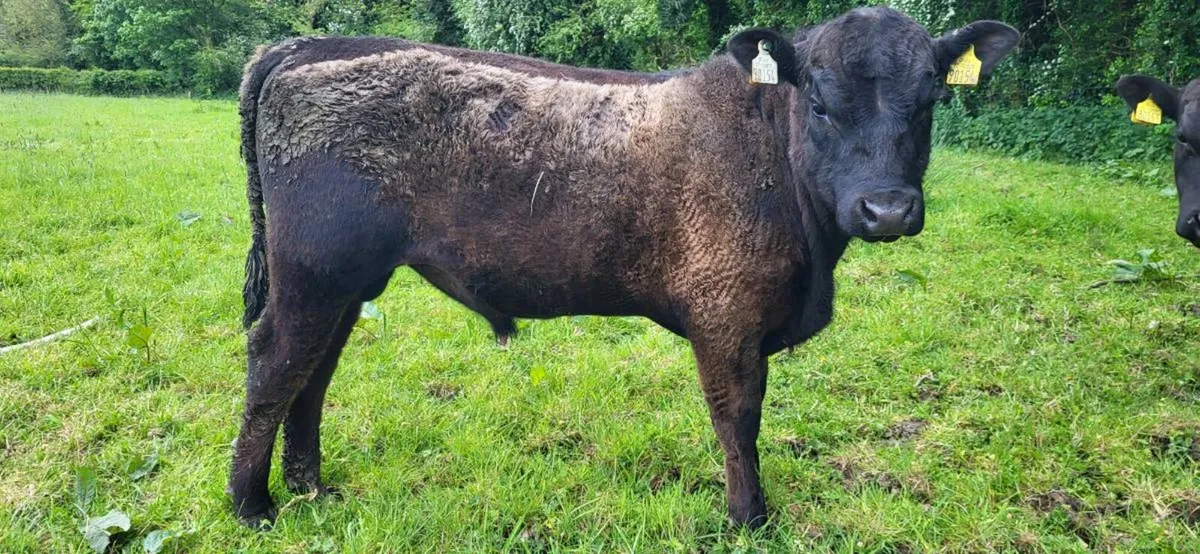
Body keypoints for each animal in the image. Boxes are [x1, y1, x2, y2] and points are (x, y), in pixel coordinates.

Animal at [228, 7, 1019, 529]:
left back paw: (310, 488)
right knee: (275, 363)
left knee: (313, 371)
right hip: (313, 273)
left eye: (930, 99)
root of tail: (302, 50)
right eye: (820, 102)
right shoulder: (725, 317)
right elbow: (739, 420)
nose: (887, 209)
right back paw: (253, 503)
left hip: (346, 282)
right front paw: (749, 517)